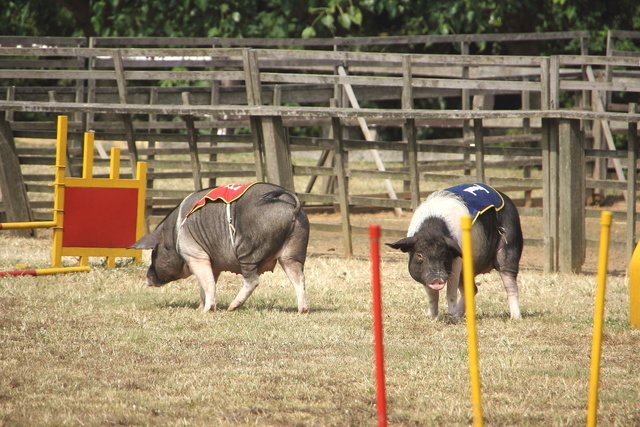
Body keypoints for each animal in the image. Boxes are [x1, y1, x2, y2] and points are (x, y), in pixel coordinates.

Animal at [130, 181, 310, 314]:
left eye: (154, 253)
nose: (147, 279)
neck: (174, 234)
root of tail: (291, 206)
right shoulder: (213, 262)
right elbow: (205, 283)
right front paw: (200, 307)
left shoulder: (195, 254)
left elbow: (208, 281)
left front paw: (206, 310)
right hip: (293, 251)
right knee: (299, 278)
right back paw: (302, 310)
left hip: (248, 250)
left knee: (253, 280)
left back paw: (232, 307)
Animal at [388, 184, 524, 320]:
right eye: (419, 255)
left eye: (445, 254)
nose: (437, 278)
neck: (432, 230)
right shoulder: (423, 273)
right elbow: (432, 295)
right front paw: (432, 317)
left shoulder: (457, 262)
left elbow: (451, 292)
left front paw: (449, 314)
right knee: (472, 289)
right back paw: (456, 316)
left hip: (510, 243)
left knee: (510, 282)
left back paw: (515, 317)